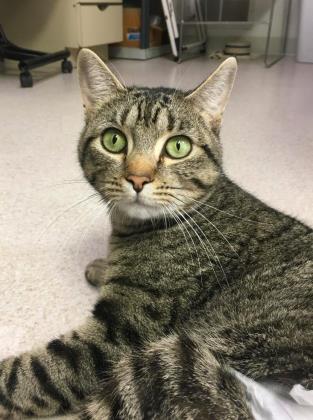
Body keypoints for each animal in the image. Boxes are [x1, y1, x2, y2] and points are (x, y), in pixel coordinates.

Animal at [0, 47, 310, 418]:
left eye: (178, 147)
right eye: (114, 140)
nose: (138, 178)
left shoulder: (116, 335)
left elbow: (27, 376)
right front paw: (102, 266)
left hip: (168, 363)